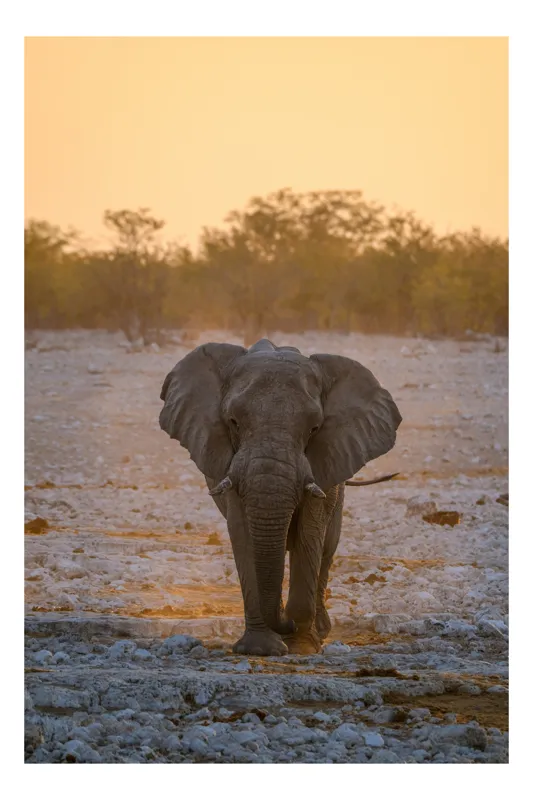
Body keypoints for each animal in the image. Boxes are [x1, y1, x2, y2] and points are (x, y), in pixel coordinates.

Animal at [159, 338, 402, 656]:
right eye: (233, 422)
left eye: (314, 428)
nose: (287, 623)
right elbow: (243, 533)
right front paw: (261, 648)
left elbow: (310, 532)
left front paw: (301, 645)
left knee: (327, 548)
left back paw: (318, 631)